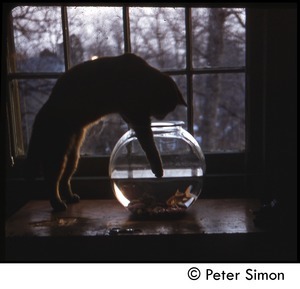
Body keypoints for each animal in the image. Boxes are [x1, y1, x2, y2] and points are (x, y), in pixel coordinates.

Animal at [26, 53, 185, 210]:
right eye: (165, 109)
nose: (162, 117)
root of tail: (43, 111)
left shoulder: (131, 114)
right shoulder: (139, 118)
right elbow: (150, 147)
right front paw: (158, 169)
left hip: (73, 155)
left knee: (65, 178)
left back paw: (70, 197)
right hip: (57, 152)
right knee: (51, 180)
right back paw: (57, 203)